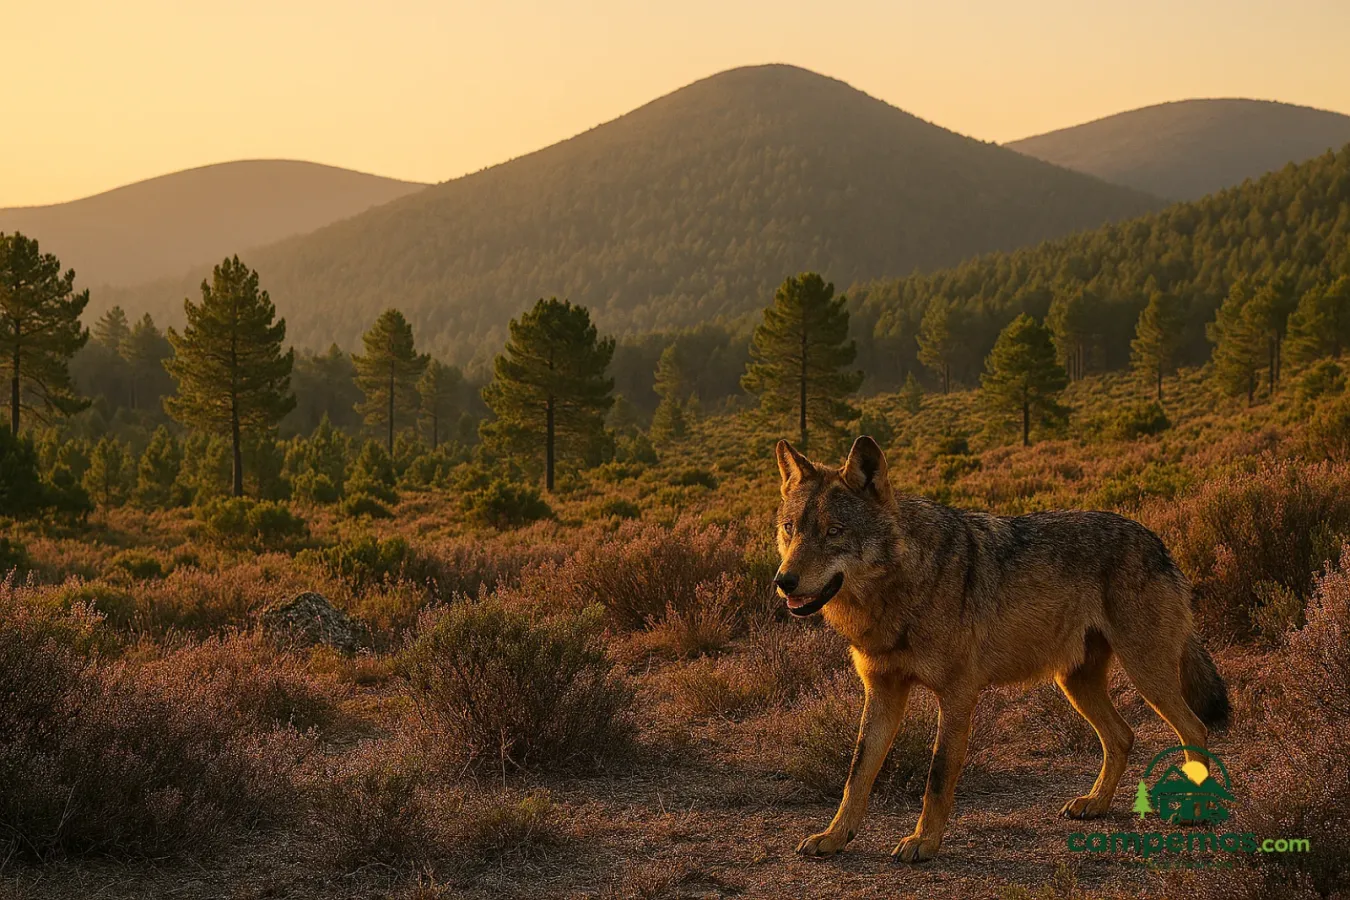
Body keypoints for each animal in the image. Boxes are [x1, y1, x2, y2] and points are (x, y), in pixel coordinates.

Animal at [773, 436, 1228, 863]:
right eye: (791, 528)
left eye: (833, 532)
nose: (783, 581)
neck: (902, 589)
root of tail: (1157, 541)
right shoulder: (882, 692)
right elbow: (857, 772)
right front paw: (834, 836)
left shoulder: (958, 696)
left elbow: (937, 775)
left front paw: (923, 842)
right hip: (1075, 683)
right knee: (1123, 736)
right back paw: (1096, 803)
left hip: (1146, 675)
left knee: (1195, 729)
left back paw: (1195, 810)